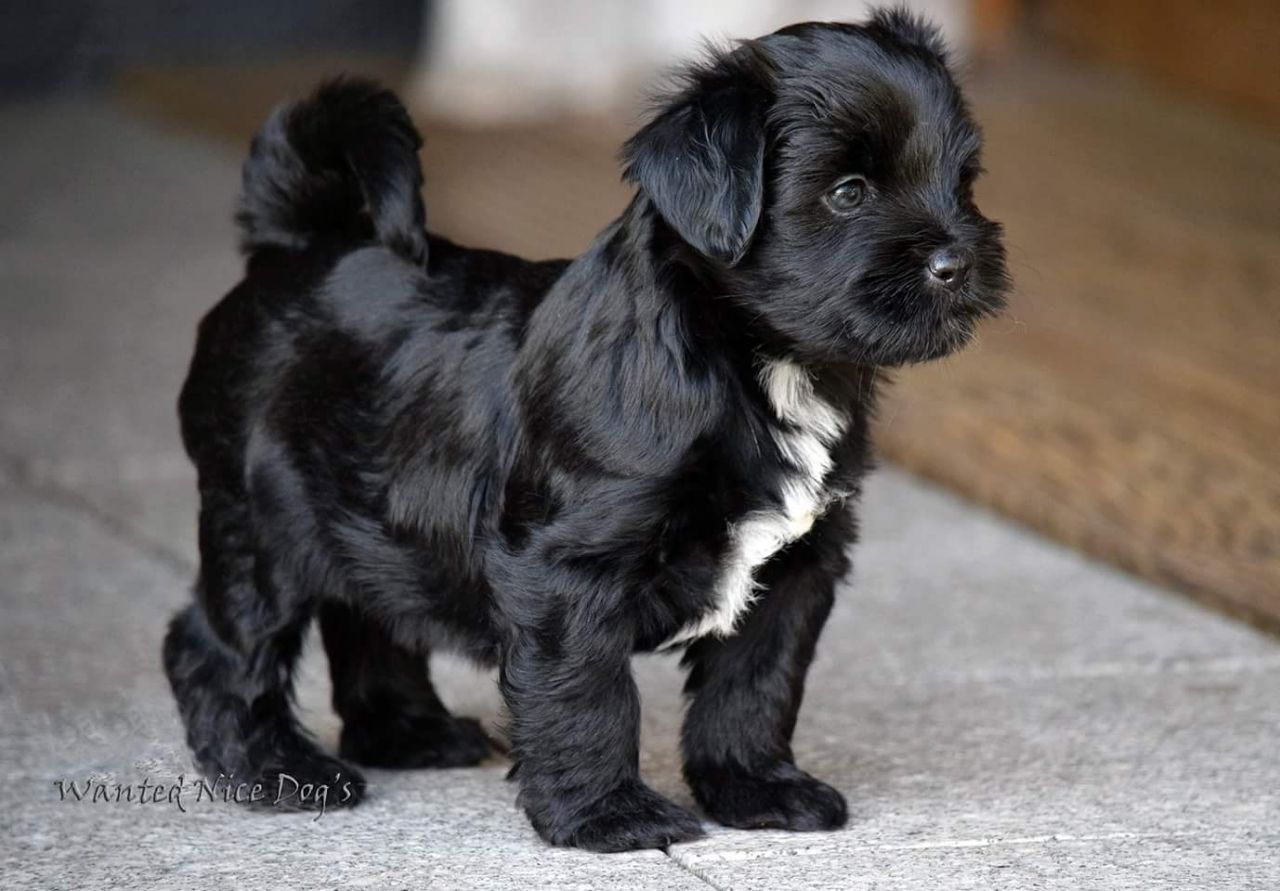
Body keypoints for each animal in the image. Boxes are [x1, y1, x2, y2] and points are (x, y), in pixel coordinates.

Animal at [164, 8, 1008, 852]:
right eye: (847, 191)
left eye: (963, 180)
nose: (956, 261)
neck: (757, 360)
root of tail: (297, 242)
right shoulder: (568, 569)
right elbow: (587, 693)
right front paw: (610, 814)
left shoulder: (796, 566)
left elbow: (755, 682)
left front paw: (755, 788)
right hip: (262, 520)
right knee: (212, 644)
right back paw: (275, 769)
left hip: (372, 517)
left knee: (370, 616)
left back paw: (410, 732)